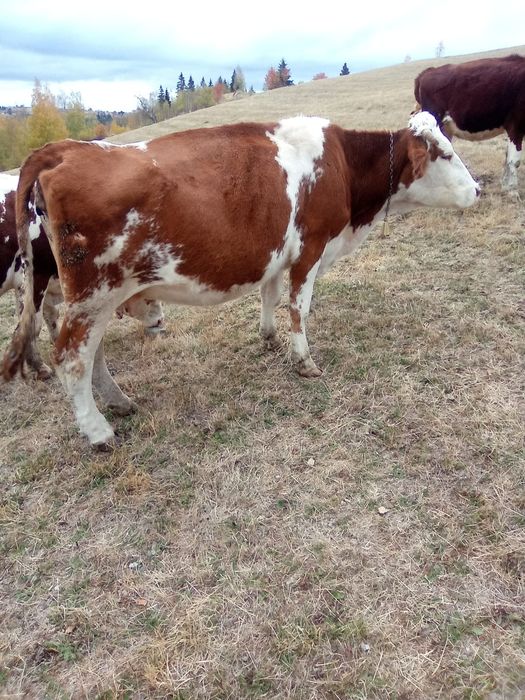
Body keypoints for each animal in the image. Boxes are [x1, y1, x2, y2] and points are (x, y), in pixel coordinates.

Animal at [0, 173, 165, 379]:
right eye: (149, 295)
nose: (161, 321)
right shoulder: (34, 278)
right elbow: (32, 325)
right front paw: (40, 367)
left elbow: (49, 317)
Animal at [413, 54, 525, 192]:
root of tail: (427, 72)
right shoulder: (516, 125)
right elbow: (514, 160)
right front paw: (512, 190)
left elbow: (507, 157)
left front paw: (505, 185)